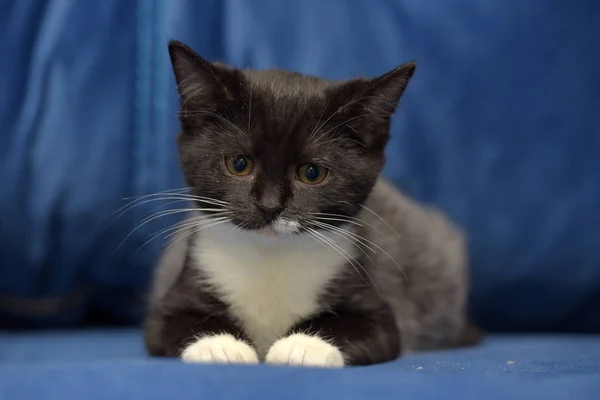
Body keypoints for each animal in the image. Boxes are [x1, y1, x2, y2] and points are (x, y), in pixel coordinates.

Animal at [143, 39, 476, 368]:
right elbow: (171, 322)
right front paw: (220, 345)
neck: (269, 258)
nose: (270, 206)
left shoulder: (375, 302)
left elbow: (367, 326)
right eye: (239, 164)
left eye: (312, 173)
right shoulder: (184, 286)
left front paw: (304, 346)